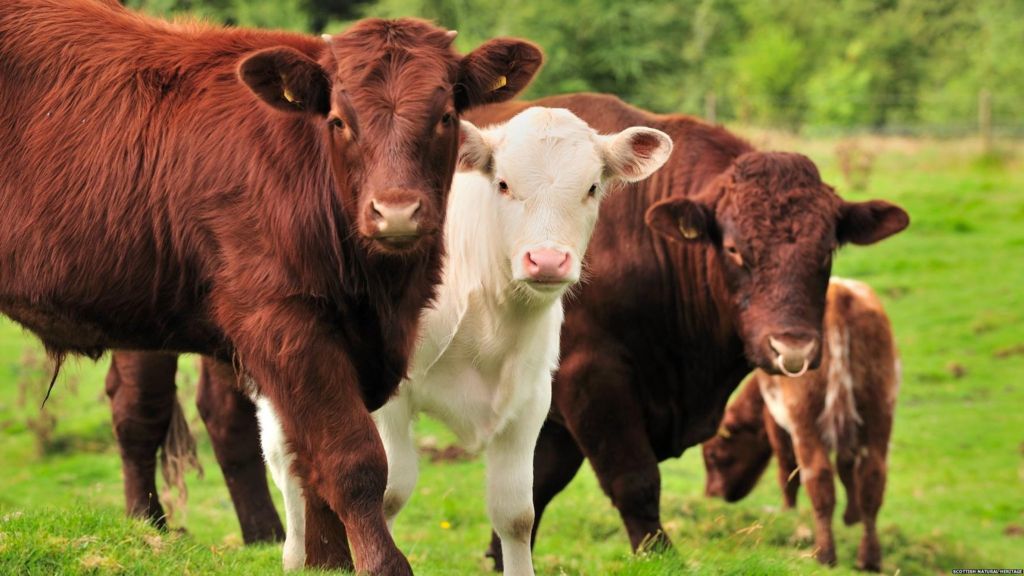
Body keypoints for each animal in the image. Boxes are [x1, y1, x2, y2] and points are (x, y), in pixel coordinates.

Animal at [0, 0, 544, 569]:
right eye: (338, 120)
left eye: (445, 117)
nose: (395, 212)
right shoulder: (284, 321)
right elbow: (352, 458)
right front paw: (381, 563)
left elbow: (312, 463)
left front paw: (327, 563)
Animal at [256, 106, 671, 569]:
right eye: (503, 183)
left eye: (592, 186)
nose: (547, 260)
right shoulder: (388, 396)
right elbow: (387, 491)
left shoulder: (530, 398)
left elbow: (516, 513)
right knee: (286, 456)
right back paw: (297, 555)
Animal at [700, 276, 901, 565]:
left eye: (713, 455)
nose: (710, 497)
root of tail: (839, 294)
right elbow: (846, 468)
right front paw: (851, 517)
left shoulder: (776, 421)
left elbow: (787, 470)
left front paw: (788, 513)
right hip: (879, 410)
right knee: (872, 476)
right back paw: (869, 558)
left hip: (805, 418)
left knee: (818, 476)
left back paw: (824, 553)